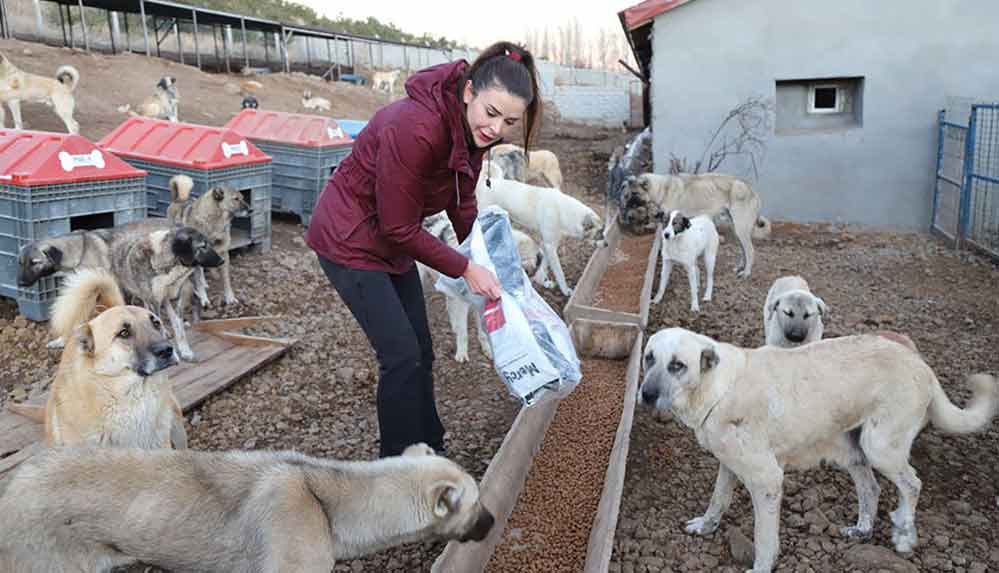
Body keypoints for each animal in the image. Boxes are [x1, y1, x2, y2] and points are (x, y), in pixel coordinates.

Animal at [167, 174, 247, 308]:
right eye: (235, 199)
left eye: (242, 198)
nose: (251, 209)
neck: (214, 225)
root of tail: (178, 199)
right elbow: (198, 280)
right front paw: (204, 299)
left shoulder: (224, 255)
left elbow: (226, 280)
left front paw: (230, 298)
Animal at [478, 174, 608, 294]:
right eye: (600, 232)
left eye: (603, 231)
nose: (607, 245)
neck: (563, 211)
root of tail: (483, 182)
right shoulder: (550, 246)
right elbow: (559, 273)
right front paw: (565, 291)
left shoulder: (547, 244)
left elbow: (543, 265)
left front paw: (542, 281)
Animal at [640, 326, 999, 572]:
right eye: (649, 358)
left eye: (677, 365)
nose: (645, 395)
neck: (716, 387)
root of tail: (920, 364)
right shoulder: (728, 464)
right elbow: (718, 500)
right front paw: (706, 526)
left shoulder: (767, 479)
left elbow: (764, 537)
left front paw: (761, 566)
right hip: (853, 451)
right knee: (871, 488)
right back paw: (862, 529)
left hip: (880, 447)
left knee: (912, 483)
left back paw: (904, 534)